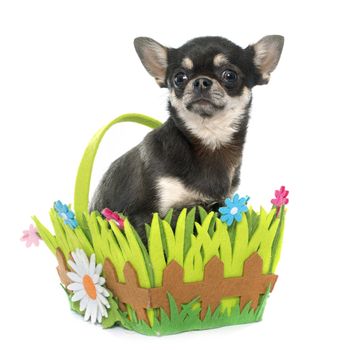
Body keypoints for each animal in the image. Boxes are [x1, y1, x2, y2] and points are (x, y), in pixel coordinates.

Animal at [89, 36, 284, 243]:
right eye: (179, 78)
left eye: (229, 75)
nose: (201, 81)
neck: (210, 140)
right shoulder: (149, 216)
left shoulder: (218, 205)